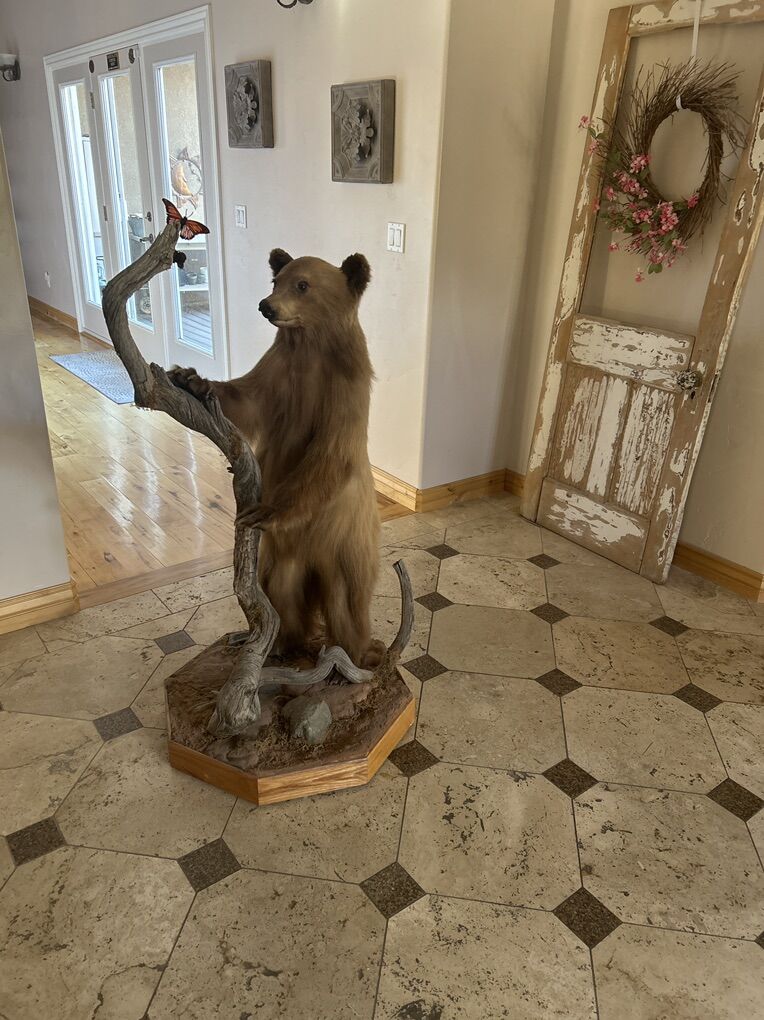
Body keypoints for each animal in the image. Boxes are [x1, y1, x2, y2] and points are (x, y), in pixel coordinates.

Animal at [168, 247, 380, 666]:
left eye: (303, 285)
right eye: (276, 279)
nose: (266, 306)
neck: (309, 348)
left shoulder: (343, 391)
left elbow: (328, 455)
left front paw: (266, 510)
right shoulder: (278, 373)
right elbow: (245, 399)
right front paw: (192, 379)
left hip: (347, 546)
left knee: (347, 604)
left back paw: (353, 655)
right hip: (282, 560)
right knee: (280, 592)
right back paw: (282, 644)